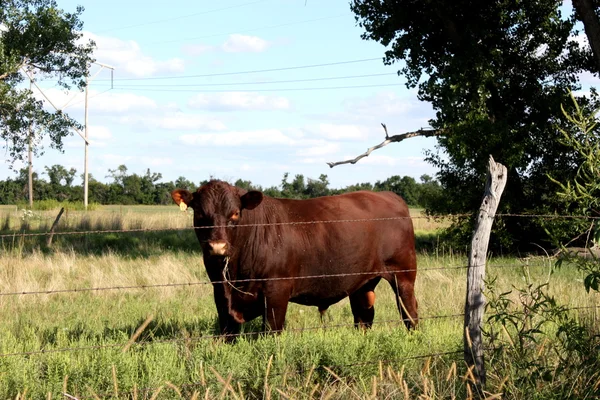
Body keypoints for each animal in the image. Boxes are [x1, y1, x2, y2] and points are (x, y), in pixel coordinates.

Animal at [171, 181, 420, 338]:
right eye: (200, 214)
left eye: (235, 214)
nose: (217, 247)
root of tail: (390, 196)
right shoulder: (221, 294)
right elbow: (227, 334)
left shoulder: (276, 292)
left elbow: (271, 331)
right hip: (362, 283)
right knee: (364, 316)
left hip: (403, 275)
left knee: (410, 313)